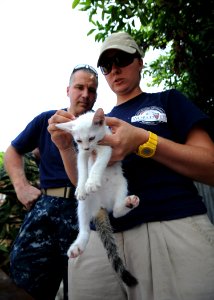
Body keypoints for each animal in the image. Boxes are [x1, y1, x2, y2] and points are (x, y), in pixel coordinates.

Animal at [55, 108, 139, 286]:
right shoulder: (80, 155)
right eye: (79, 140)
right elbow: (82, 169)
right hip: (83, 206)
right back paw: (77, 246)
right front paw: (82, 186)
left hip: (122, 183)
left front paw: (92, 181)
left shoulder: (108, 147)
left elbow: (98, 164)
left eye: (92, 138)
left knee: (116, 212)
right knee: (85, 228)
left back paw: (128, 203)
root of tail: (102, 206)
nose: (88, 148)